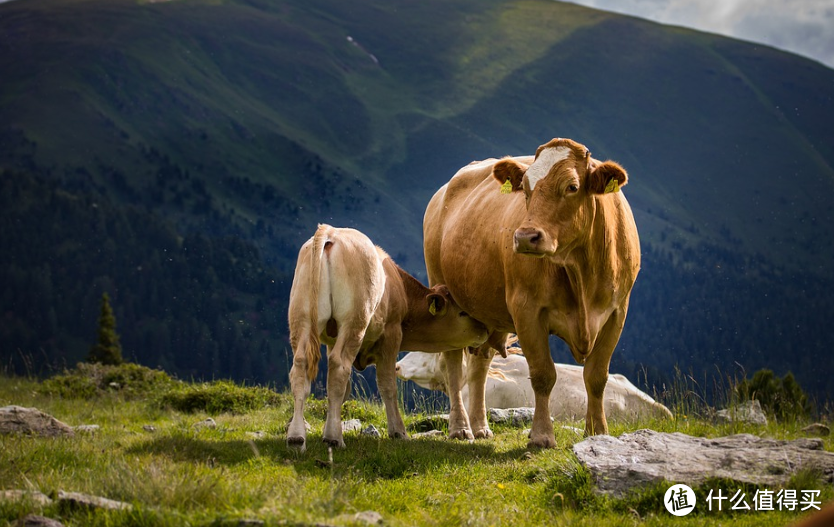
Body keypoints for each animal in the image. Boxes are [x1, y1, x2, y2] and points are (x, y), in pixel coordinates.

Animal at [288, 223, 488, 450]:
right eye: (462, 312)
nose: (485, 329)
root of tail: (331, 232)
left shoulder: (331, 340)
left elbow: (342, 390)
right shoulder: (392, 334)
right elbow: (387, 385)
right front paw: (398, 431)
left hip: (301, 318)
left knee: (300, 367)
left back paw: (296, 437)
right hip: (354, 321)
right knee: (339, 366)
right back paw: (333, 438)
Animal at [426, 138, 640, 448]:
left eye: (572, 186)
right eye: (525, 188)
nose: (526, 237)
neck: (581, 271)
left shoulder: (617, 312)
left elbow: (597, 375)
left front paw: (598, 432)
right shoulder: (526, 309)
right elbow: (542, 374)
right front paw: (541, 436)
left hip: (486, 312)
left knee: (480, 364)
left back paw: (480, 426)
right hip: (444, 293)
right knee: (453, 364)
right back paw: (461, 428)